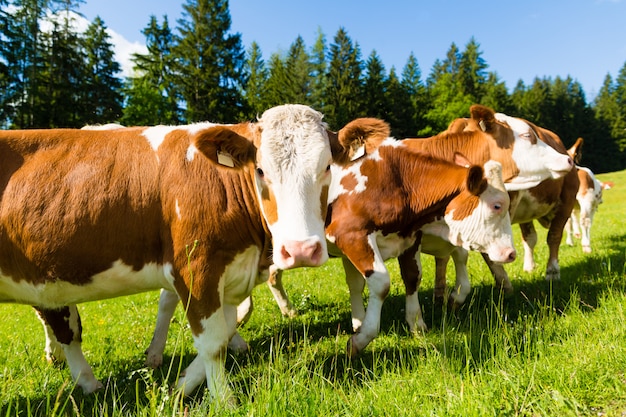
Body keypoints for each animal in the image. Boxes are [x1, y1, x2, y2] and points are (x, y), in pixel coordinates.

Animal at [0, 104, 370, 404]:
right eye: (261, 170)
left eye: (327, 167)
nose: (301, 250)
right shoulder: (197, 268)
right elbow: (213, 343)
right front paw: (223, 401)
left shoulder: (230, 271)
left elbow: (224, 329)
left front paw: (177, 389)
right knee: (64, 326)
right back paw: (88, 380)